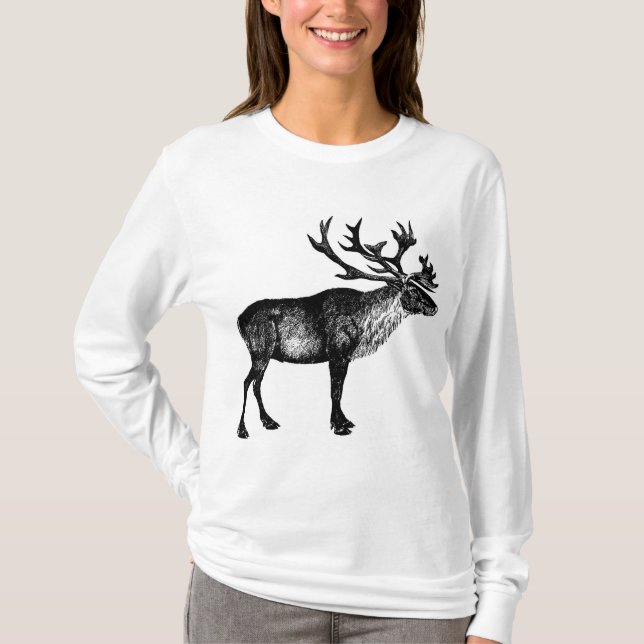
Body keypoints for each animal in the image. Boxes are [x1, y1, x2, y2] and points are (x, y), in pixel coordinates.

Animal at [236, 216, 439, 438]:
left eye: (420, 287)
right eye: (411, 290)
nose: (434, 307)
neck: (365, 324)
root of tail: (239, 318)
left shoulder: (345, 356)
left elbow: (340, 390)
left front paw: (345, 421)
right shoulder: (337, 352)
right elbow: (335, 391)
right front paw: (339, 426)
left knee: (256, 384)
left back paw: (268, 421)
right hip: (260, 350)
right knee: (247, 382)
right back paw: (244, 429)